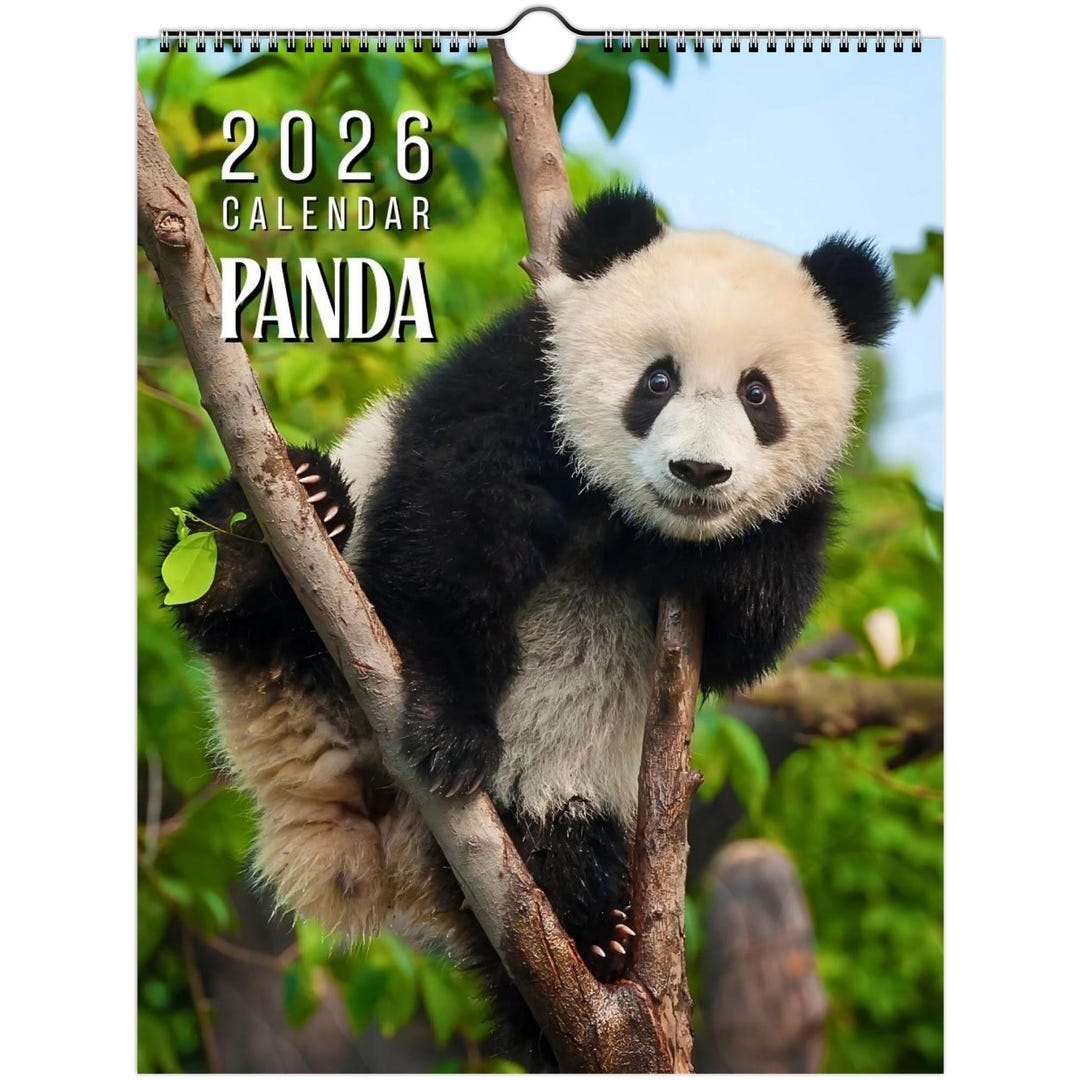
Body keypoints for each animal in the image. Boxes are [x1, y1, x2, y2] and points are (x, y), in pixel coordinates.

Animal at [170, 187, 896, 1062]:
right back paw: (277, 528)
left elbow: (747, 632)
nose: (698, 473)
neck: (628, 516)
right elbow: (451, 537)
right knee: (252, 586)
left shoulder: (792, 521)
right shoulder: (522, 385)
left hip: (558, 798)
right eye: (657, 380)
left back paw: (590, 932)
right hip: (308, 630)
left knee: (552, 864)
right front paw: (452, 731)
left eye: (758, 395)